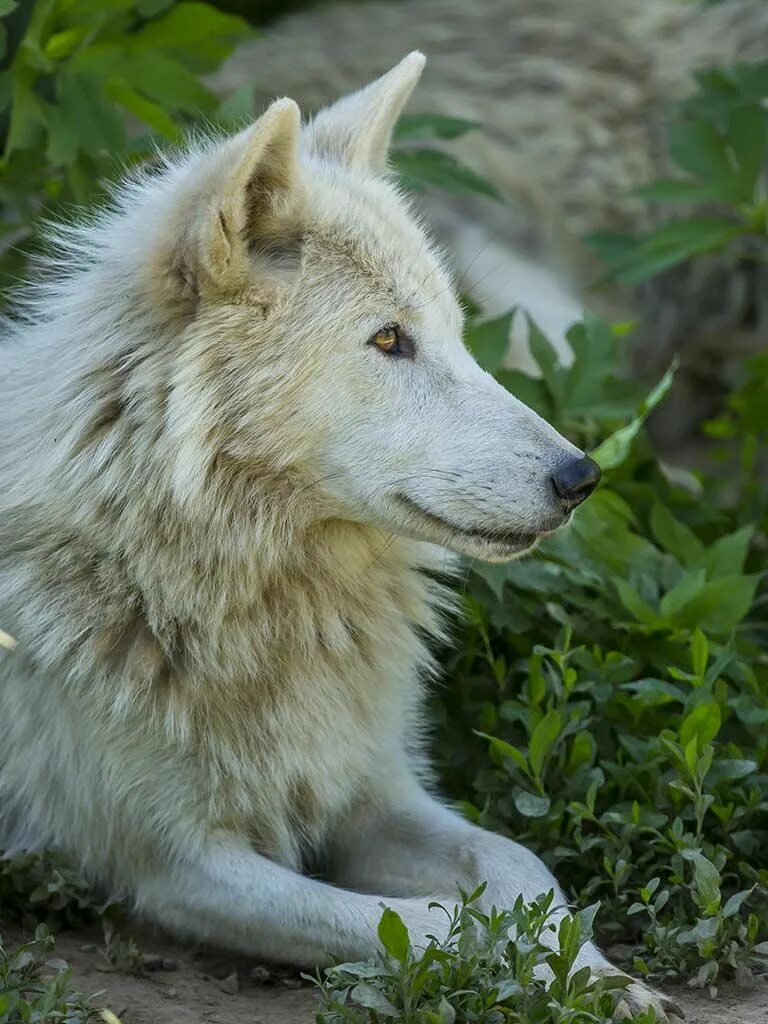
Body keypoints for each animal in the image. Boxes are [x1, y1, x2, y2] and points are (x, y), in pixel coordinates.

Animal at [3, 56, 679, 1015]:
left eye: (459, 334)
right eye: (389, 339)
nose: (580, 478)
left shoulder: (375, 792)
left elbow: (520, 865)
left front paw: (598, 971)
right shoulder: (174, 865)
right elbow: (428, 922)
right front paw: (539, 972)